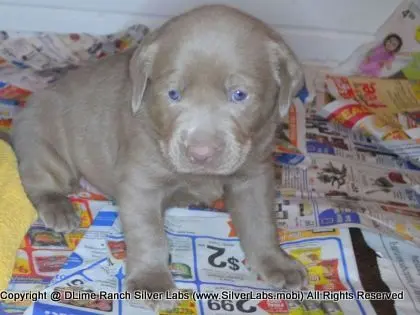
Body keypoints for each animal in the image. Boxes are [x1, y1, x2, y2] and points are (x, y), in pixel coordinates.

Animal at [13, 4, 308, 312]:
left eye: (239, 95)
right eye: (172, 94)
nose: (200, 153)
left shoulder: (255, 175)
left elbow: (261, 223)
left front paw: (277, 263)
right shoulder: (141, 184)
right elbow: (149, 235)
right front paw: (151, 282)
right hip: (44, 142)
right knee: (37, 181)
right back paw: (59, 208)